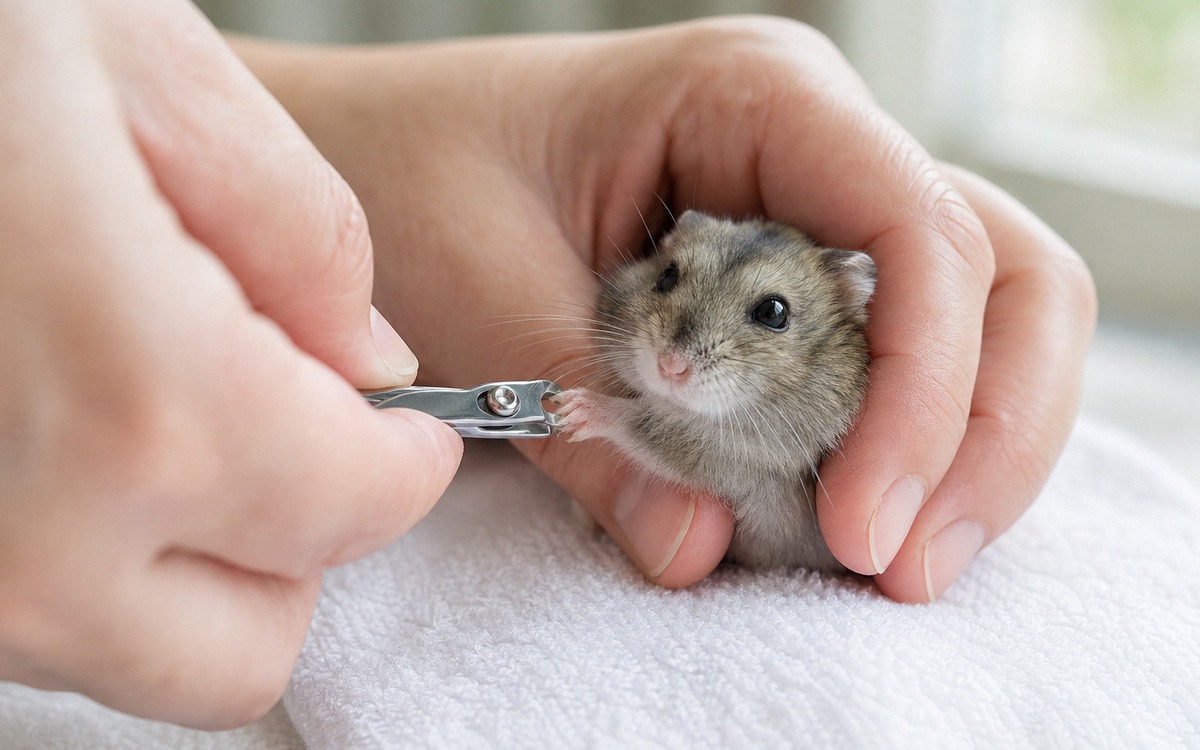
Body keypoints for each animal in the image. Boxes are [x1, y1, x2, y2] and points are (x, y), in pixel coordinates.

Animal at [554, 210, 875, 571]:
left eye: (774, 312)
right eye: (666, 275)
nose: (670, 366)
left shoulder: (738, 458)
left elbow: (641, 424)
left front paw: (571, 409)